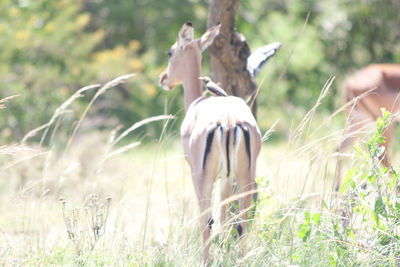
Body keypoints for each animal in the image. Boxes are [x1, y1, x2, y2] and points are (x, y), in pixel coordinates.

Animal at [159, 22, 262, 264]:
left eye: (170, 52)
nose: (163, 78)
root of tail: (229, 121)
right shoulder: (226, 178)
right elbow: (225, 216)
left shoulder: (197, 174)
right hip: (245, 177)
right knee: (242, 223)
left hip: (204, 179)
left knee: (206, 223)